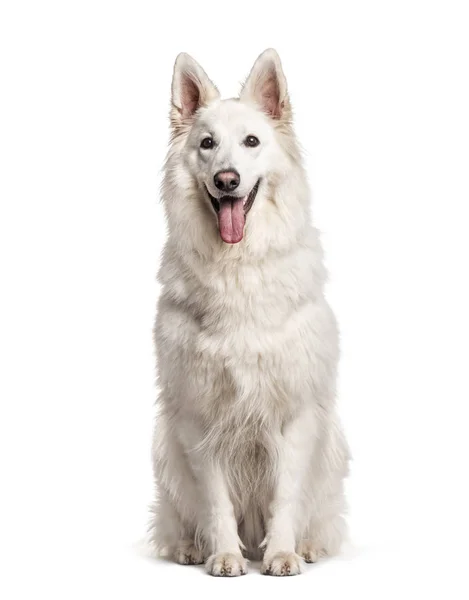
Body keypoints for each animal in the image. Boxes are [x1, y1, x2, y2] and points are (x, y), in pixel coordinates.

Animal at [152, 49, 350, 576]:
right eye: (207, 144)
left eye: (252, 142)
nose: (228, 180)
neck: (236, 268)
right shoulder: (200, 415)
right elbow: (215, 501)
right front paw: (223, 555)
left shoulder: (295, 414)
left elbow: (286, 497)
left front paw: (282, 553)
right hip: (166, 450)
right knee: (177, 519)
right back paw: (190, 547)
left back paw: (306, 545)